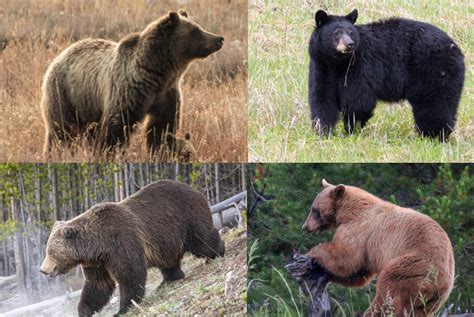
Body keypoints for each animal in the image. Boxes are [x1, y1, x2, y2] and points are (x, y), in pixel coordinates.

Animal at [39, 179, 224, 314]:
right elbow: (97, 285)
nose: (43, 269)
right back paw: (169, 279)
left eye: (50, 252)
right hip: (165, 240)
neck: (97, 245)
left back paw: (217, 252)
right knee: (168, 260)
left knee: (202, 240)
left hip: (186, 218)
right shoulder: (97, 262)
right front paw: (84, 310)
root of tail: (195, 189)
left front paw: (123, 308)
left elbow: (130, 274)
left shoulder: (121, 243)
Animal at [41, 10, 224, 157]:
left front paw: (160, 151)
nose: (219, 39)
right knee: (61, 130)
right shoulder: (128, 91)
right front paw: (110, 153)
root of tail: (61, 54)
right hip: (66, 93)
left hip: (87, 106)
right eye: (195, 31)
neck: (158, 74)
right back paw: (55, 153)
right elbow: (117, 128)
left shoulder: (167, 94)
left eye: (198, 26)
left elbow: (162, 127)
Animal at [302, 179, 454, 314]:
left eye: (314, 210)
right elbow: (358, 273)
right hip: (433, 301)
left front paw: (312, 253)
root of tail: (439, 283)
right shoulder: (368, 249)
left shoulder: (359, 230)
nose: (305, 227)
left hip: (411, 268)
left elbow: (345, 258)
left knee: (387, 295)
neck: (347, 212)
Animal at [310, 8, 464, 139]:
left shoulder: (361, 67)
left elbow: (359, 100)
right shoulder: (321, 68)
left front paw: (351, 130)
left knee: (435, 105)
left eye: (351, 32)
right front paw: (323, 131)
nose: (350, 44)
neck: (338, 64)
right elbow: (322, 99)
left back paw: (433, 135)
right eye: (336, 33)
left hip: (435, 72)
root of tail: (455, 47)